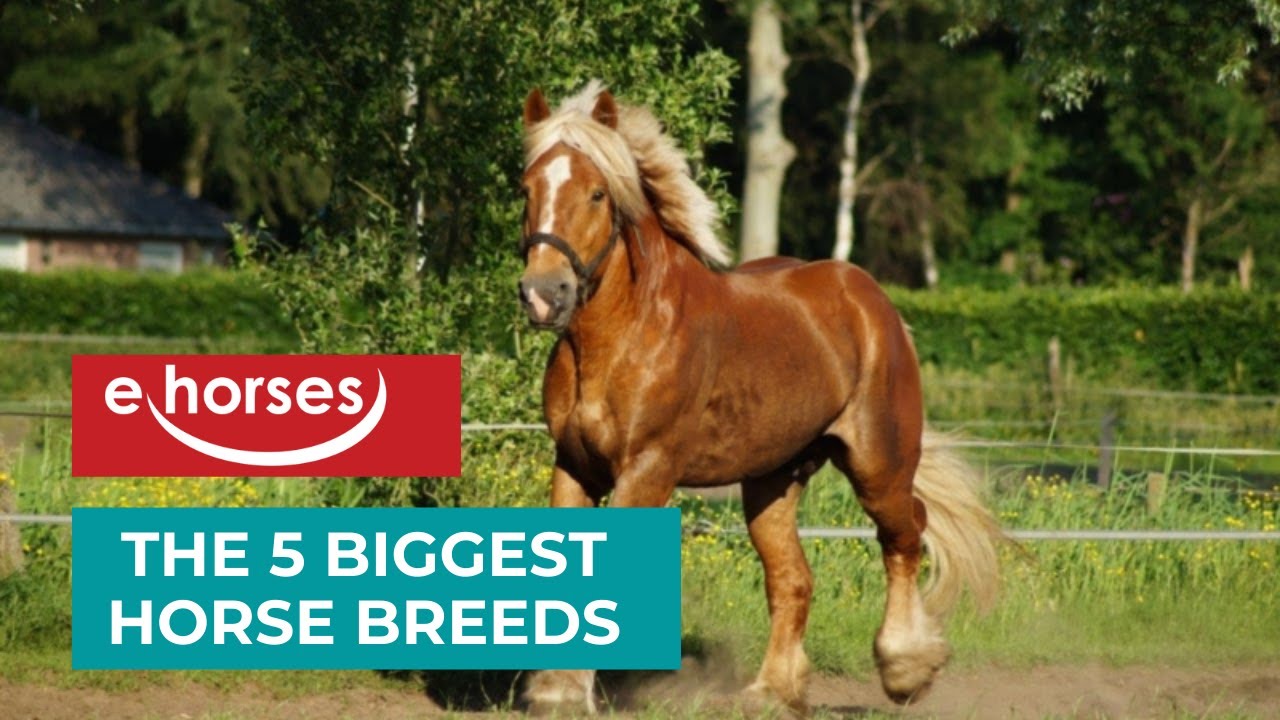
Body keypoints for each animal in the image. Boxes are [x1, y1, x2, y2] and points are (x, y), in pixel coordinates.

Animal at [514, 81, 1001, 715]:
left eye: (597, 193)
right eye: (527, 189)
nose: (544, 294)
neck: (623, 337)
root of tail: (874, 302)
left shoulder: (647, 470)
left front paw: (567, 689)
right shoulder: (574, 466)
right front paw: (558, 691)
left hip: (879, 465)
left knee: (905, 538)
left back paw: (905, 669)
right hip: (772, 481)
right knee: (793, 579)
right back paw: (774, 691)